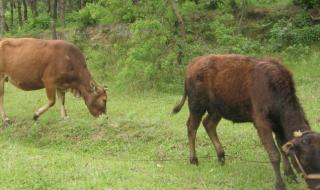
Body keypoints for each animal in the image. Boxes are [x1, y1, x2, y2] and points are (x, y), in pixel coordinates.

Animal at [172, 53, 320, 190]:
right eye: (305, 159)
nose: (317, 185)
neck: (275, 88)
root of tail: (196, 61)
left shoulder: (279, 125)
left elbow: (282, 147)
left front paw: (290, 175)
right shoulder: (261, 122)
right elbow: (274, 153)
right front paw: (280, 184)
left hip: (217, 109)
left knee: (208, 124)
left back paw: (221, 157)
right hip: (196, 105)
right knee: (192, 127)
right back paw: (194, 160)